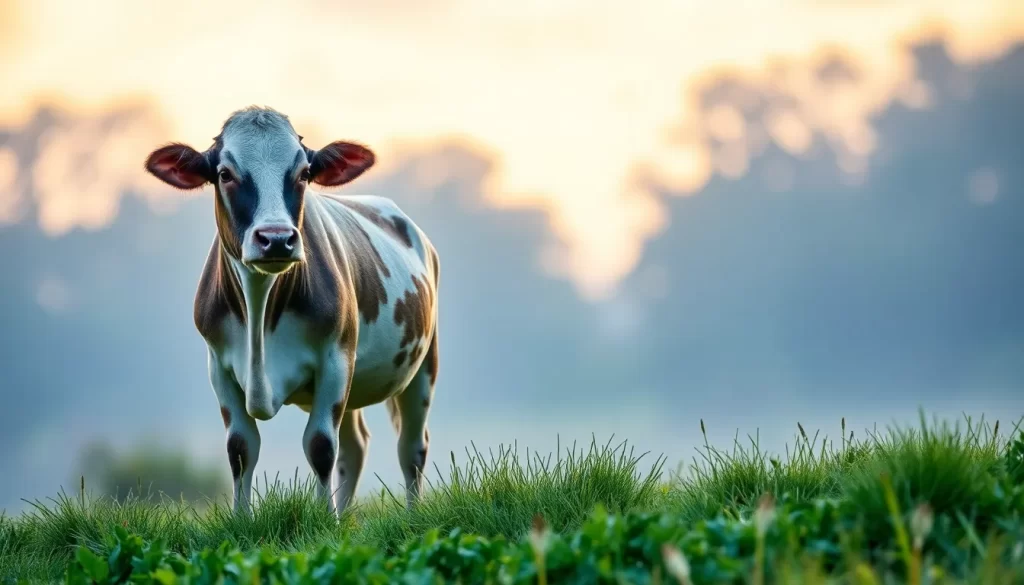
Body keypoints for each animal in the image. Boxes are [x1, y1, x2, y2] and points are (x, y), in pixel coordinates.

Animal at [143, 106, 439, 516]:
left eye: (303, 173)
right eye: (225, 173)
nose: (277, 239)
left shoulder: (334, 358)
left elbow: (320, 446)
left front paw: (325, 520)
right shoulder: (218, 366)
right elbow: (240, 448)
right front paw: (242, 520)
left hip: (422, 365)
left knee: (411, 446)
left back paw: (409, 515)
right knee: (356, 445)